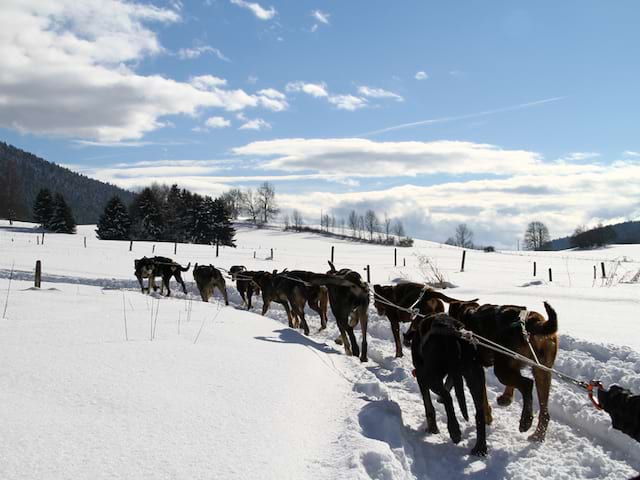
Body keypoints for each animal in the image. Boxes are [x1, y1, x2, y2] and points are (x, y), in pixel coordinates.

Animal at [408, 314, 488, 456]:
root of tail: (452, 334)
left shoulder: (421, 378)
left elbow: (429, 407)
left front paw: (432, 428)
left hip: (428, 376)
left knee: (447, 398)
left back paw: (454, 430)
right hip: (475, 377)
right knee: (479, 412)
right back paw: (480, 447)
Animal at [448, 302, 556, 440]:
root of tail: (533, 322)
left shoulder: (476, 369)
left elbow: (483, 399)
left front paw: (487, 417)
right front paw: (506, 398)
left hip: (502, 370)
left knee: (527, 384)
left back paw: (525, 421)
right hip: (541, 371)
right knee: (544, 411)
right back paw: (538, 435)